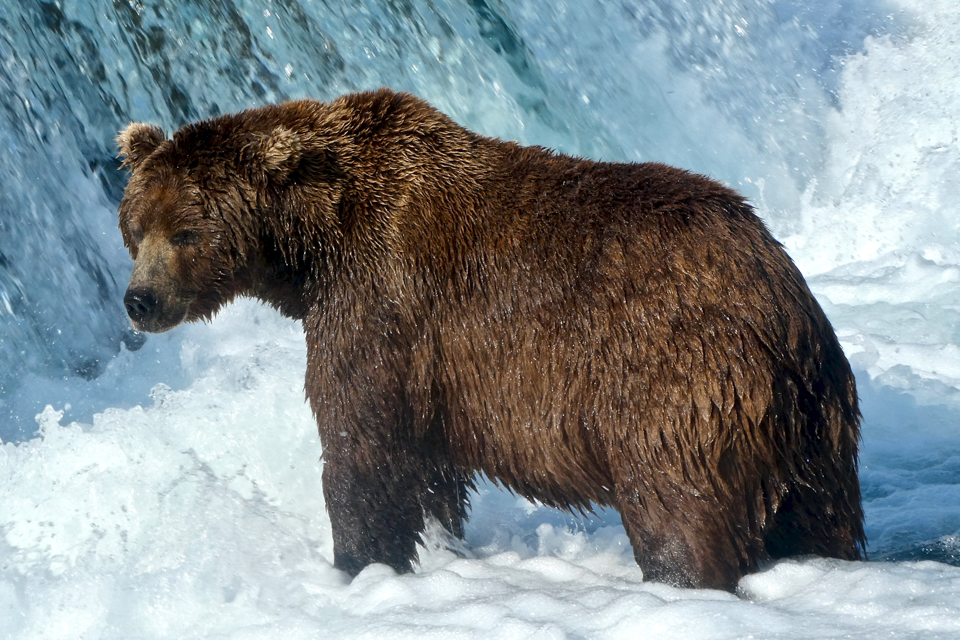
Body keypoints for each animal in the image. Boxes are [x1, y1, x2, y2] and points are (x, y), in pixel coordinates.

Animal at [116, 88, 865, 592]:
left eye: (186, 231)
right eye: (135, 227)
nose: (139, 300)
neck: (311, 247)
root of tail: (777, 304)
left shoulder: (380, 299)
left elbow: (361, 441)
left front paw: (358, 562)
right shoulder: (429, 363)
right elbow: (428, 466)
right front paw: (435, 542)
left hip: (672, 382)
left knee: (677, 507)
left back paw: (681, 577)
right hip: (820, 424)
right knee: (819, 515)